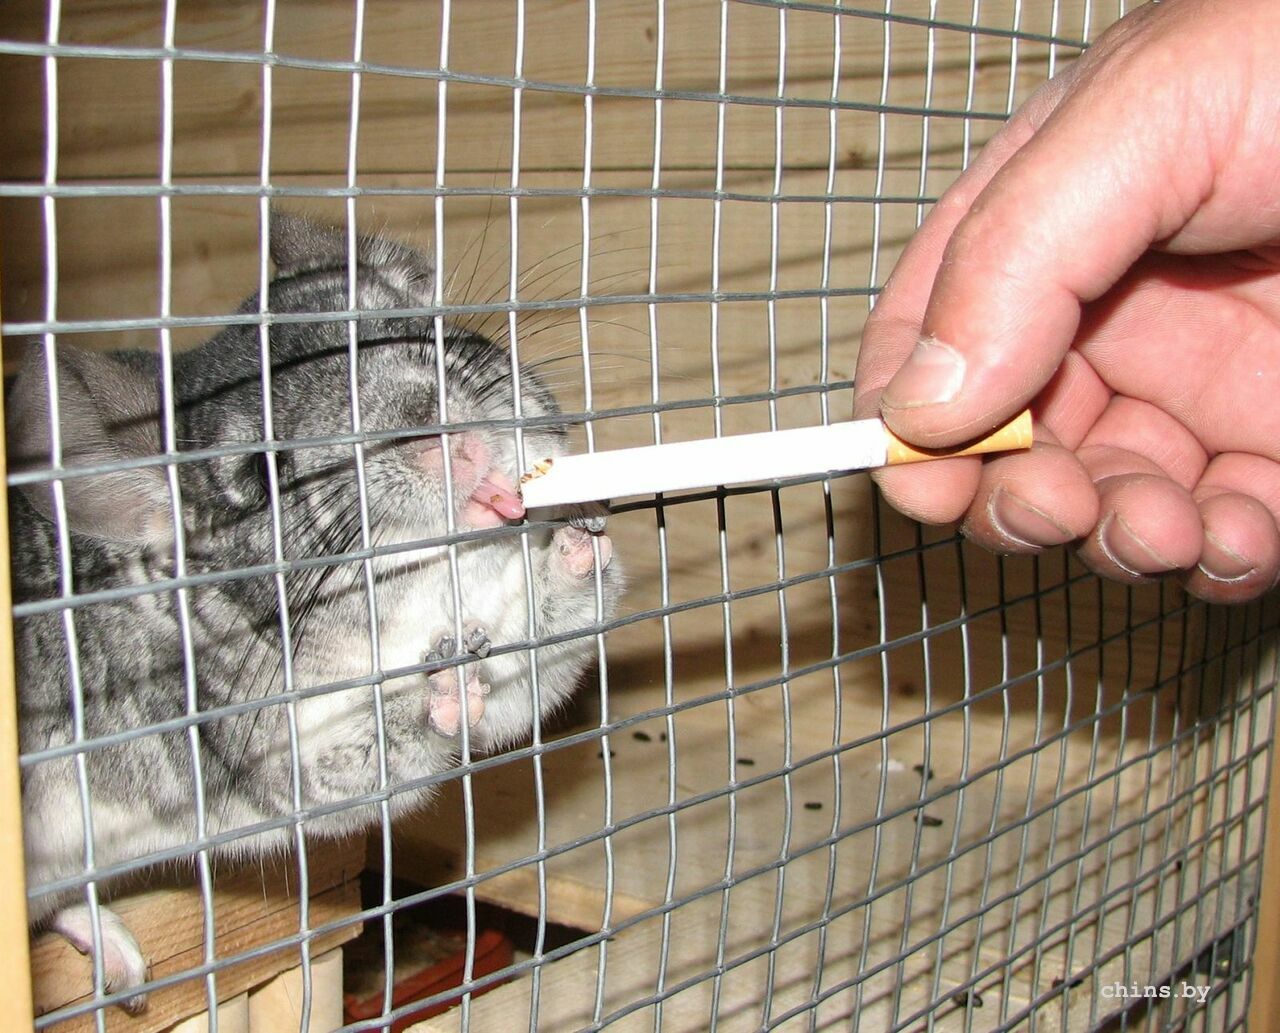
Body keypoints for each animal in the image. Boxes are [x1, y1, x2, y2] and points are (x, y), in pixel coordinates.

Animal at [8, 214, 622, 1012]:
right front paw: (444, 684)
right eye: (261, 473)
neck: (442, 592)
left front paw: (579, 539)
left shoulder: (522, 661)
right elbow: (387, 740)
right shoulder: (283, 757)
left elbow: (554, 637)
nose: (443, 441)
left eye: (404, 327)